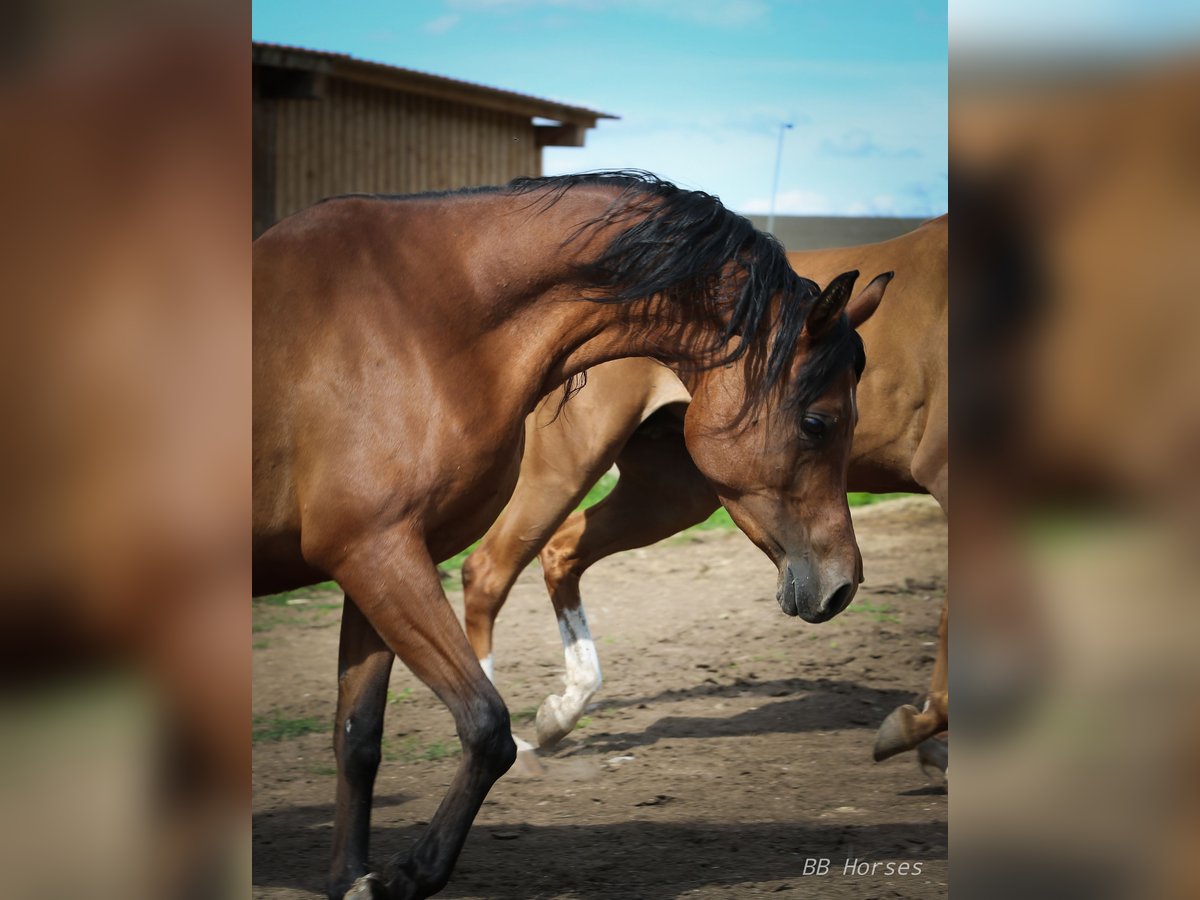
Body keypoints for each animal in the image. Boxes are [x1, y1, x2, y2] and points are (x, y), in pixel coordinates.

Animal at [253, 172, 888, 897]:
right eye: (817, 422)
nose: (843, 585)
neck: (417, 323)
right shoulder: (377, 555)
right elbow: (485, 726)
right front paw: (408, 874)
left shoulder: (373, 561)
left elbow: (358, 736)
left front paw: (354, 877)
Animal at [458, 211, 945, 768]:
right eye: (816, 423)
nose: (842, 587)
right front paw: (919, 732)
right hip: (567, 469)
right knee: (487, 570)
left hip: (670, 493)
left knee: (561, 551)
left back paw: (560, 712)